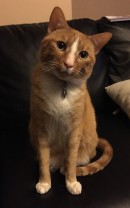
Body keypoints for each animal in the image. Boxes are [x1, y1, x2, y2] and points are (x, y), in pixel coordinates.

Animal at [29, 6, 112, 195]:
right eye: (61, 45)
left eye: (83, 54)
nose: (69, 64)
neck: (62, 87)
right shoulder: (42, 128)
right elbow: (43, 160)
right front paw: (44, 182)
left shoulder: (75, 130)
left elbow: (72, 159)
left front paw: (71, 181)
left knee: (78, 159)